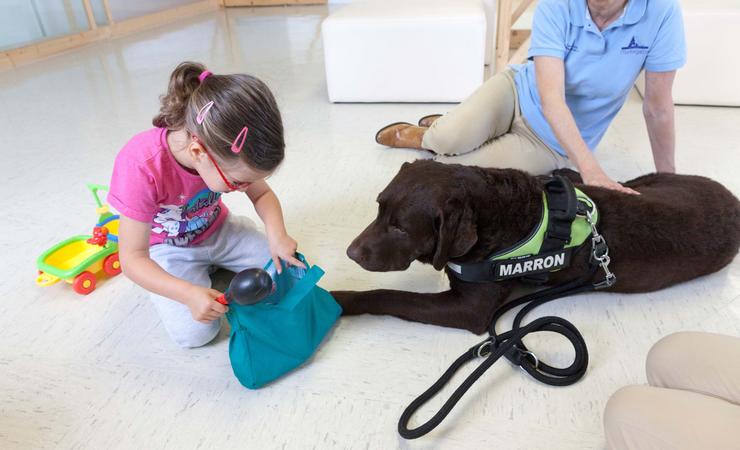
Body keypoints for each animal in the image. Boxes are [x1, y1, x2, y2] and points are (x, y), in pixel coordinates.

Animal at [332, 159, 736, 334]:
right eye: (379, 207)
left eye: (400, 227)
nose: (350, 252)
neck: (493, 211)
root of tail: (735, 200)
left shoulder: (468, 310)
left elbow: (388, 295)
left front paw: (341, 300)